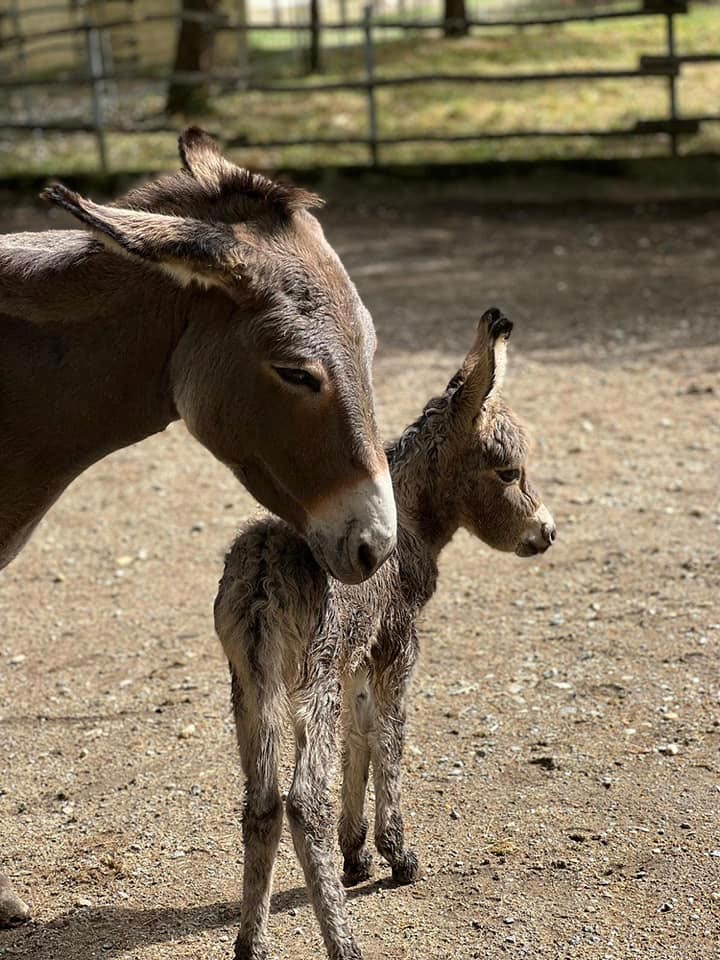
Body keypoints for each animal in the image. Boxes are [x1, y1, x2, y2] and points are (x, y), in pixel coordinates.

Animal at [215, 310, 556, 960]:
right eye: (509, 471)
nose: (547, 533)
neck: (413, 520)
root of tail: (265, 566)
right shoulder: (396, 647)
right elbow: (390, 739)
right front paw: (398, 856)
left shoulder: (357, 658)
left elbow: (361, 737)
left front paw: (357, 855)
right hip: (309, 680)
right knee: (303, 802)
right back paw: (343, 943)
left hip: (251, 684)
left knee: (262, 801)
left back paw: (252, 944)